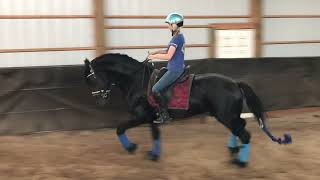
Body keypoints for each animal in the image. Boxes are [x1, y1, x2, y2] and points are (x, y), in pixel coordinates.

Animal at [83, 53, 292, 167]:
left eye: (91, 79)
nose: (98, 100)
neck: (137, 81)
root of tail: (234, 83)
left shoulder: (140, 116)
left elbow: (120, 128)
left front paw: (131, 147)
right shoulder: (151, 117)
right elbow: (155, 134)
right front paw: (153, 155)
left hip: (226, 115)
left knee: (244, 133)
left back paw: (240, 162)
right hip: (227, 115)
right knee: (240, 128)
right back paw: (233, 151)